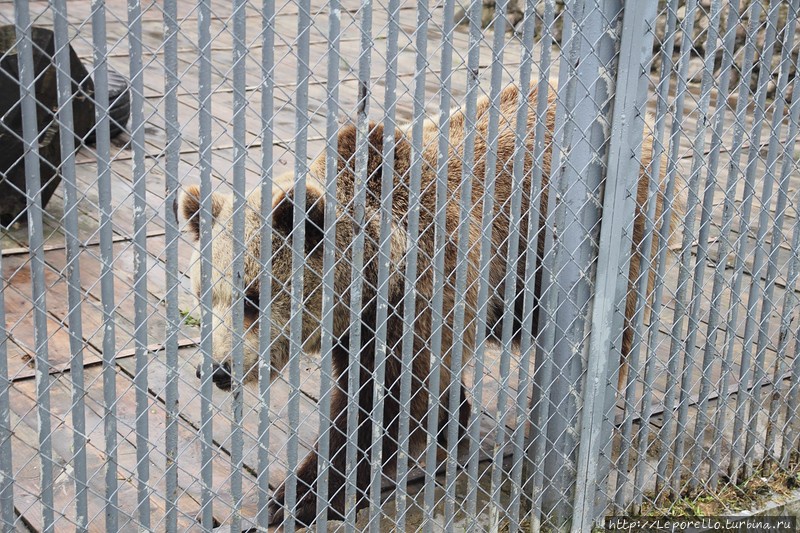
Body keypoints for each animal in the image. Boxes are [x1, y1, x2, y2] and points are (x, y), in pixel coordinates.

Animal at [175, 83, 680, 524]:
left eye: (253, 298)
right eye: (204, 293)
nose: (214, 369)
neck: (374, 271)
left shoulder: (423, 289)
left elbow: (388, 400)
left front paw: (298, 498)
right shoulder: (360, 324)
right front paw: (452, 414)